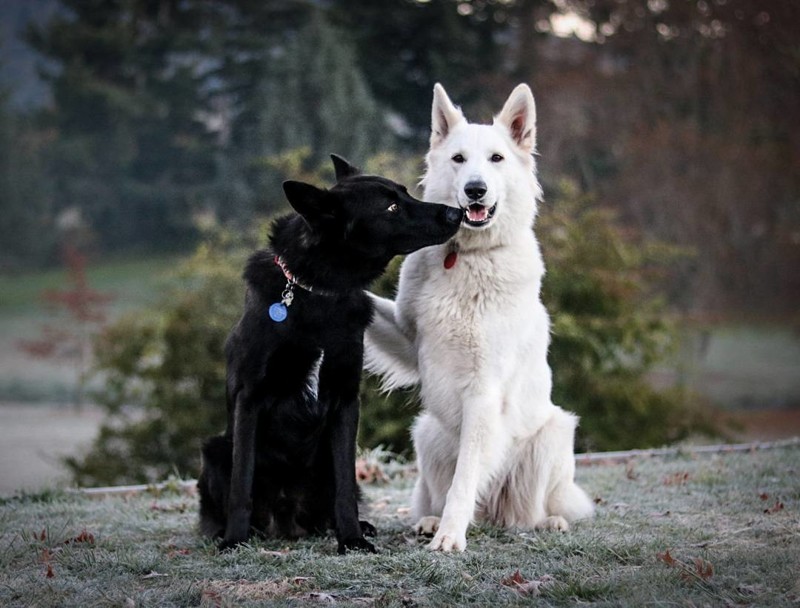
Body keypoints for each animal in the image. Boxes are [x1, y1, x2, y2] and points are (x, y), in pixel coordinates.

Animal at [198, 154, 462, 552]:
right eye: (391, 207)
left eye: (403, 193)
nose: (457, 212)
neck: (317, 292)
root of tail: (286, 520)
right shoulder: (250, 398)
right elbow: (241, 482)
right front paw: (233, 540)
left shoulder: (344, 399)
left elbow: (344, 489)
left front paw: (351, 539)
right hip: (215, 449)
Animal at [364, 82, 592, 552]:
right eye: (458, 159)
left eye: (496, 159)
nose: (475, 190)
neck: (466, 257)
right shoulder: (408, 340)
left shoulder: (483, 392)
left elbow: (465, 479)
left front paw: (451, 537)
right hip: (428, 433)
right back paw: (431, 520)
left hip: (552, 434)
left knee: (524, 513)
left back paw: (545, 522)